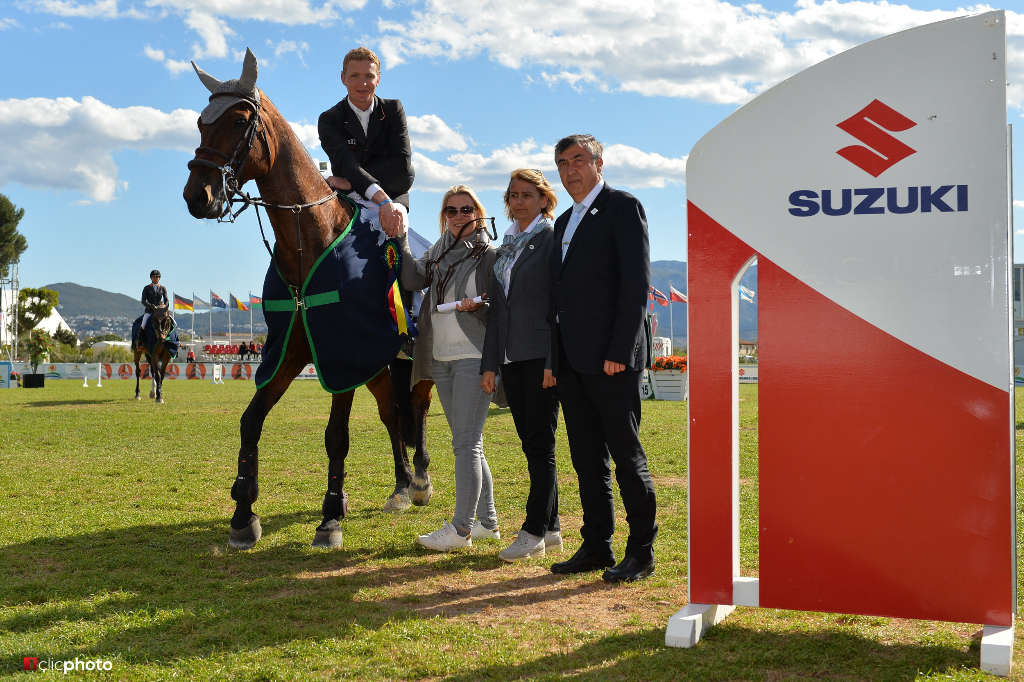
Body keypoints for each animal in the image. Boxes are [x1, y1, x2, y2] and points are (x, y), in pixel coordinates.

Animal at [184, 47, 432, 548]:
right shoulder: (293, 350)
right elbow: (250, 421)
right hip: (379, 363)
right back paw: (399, 487)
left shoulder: (343, 351)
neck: (308, 238)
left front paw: (331, 516)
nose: (197, 195)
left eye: (239, 122)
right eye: (201, 123)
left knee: (416, 409)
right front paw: (243, 512)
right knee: (392, 414)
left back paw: (418, 481)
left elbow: (337, 436)